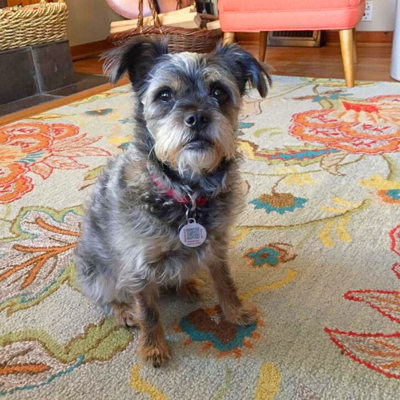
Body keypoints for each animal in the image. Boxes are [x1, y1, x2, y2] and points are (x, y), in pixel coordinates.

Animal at [75, 39, 268, 368]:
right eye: (164, 95)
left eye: (219, 92)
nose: (198, 118)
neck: (187, 193)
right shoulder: (139, 265)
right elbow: (149, 311)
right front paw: (153, 348)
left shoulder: (216, 245)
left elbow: (225, 281)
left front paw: (234, 312)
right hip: (99, 274)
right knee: (108, 297)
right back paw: (124, 311)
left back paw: (186, 286)